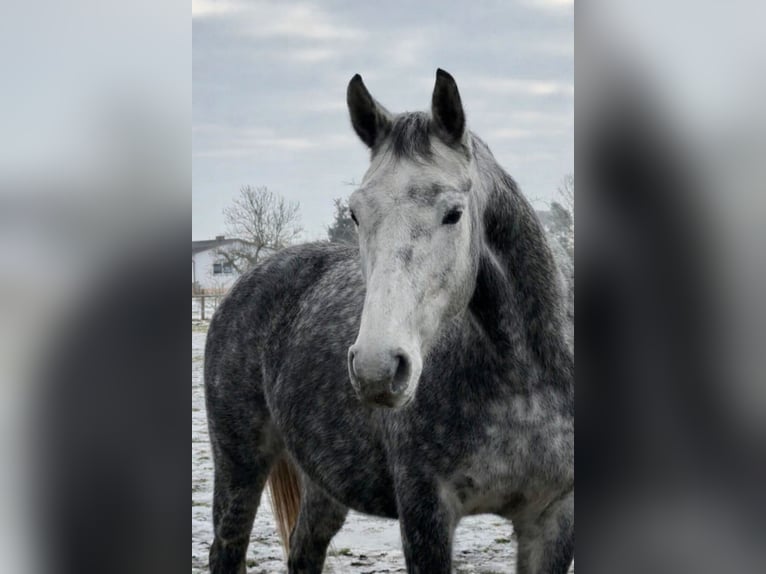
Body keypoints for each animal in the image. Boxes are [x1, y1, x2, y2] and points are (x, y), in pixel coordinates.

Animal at [205, 69, 574, 574]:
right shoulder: (425, 512)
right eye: (356, 213)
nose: (377, 369)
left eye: (454, 214)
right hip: (238, 463)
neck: (523, 383)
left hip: (322, 481)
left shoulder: (552, 516)